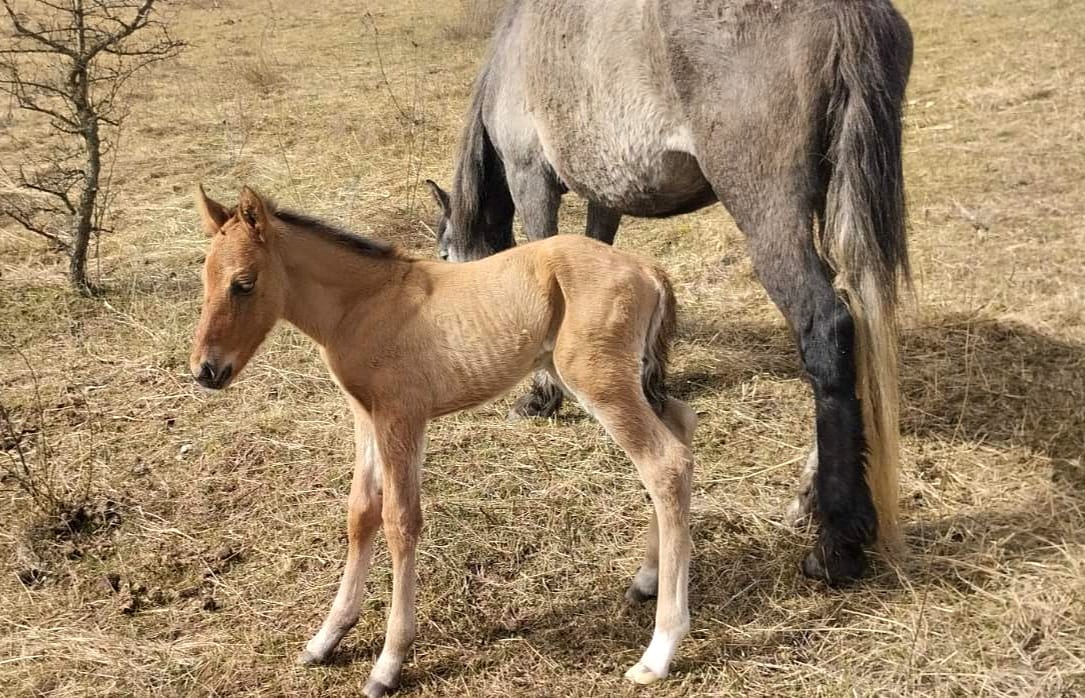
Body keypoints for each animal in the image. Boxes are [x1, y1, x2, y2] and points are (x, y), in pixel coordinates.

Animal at [188, 186, 694, 698]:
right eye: (205, 279)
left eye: (244, 283)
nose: (206, 371)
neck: (362, 304)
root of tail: (646, 268)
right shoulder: (365, 417)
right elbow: (361, 513)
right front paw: (326, 638)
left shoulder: (402, 416)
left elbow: (400, 520)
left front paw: (388, 663)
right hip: (617, 380)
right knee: (682, 426)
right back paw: (646, 580)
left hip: (598, 382)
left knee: (664, 463)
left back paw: (658, 652)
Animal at [427, 0, 911, 599]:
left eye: (444, 257)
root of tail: (847, 12)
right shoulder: (603, 196)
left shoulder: (530, 176)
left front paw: (542, 397)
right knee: (860, 327)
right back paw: (809, 497)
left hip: (770, 213)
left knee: (828, 327)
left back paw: (838, 541)